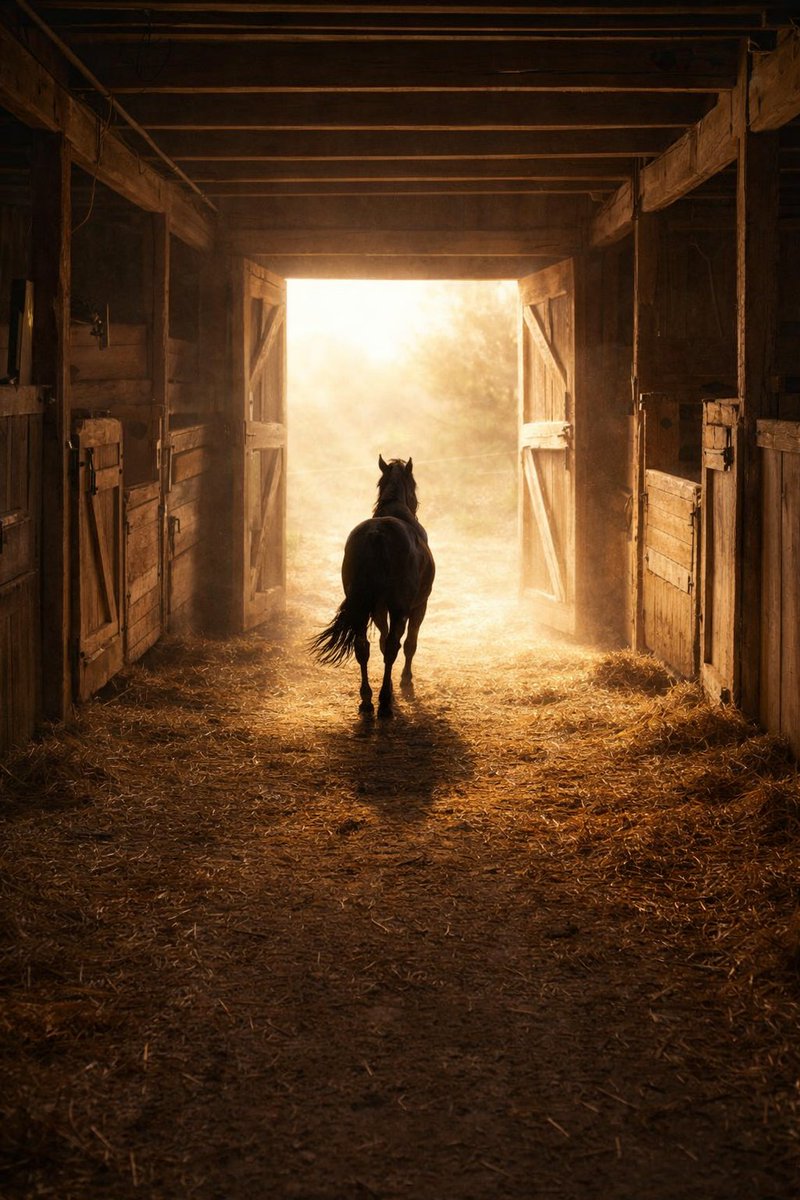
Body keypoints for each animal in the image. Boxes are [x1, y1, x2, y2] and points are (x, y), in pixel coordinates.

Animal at [310, 455, 435, 718]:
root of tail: (376, 534)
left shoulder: (377, 608)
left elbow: (380, 643)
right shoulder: (419, 606)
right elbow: (408, 644)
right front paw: (405, 682)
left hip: (361, 609)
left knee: (362, 647)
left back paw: (367, 701)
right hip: (399, 609)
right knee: (393, 647)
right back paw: (384, 703)